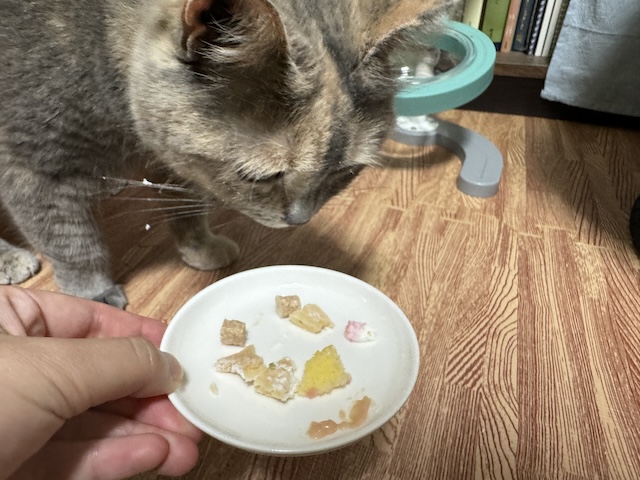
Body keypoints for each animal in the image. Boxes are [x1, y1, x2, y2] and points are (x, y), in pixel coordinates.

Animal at [0, 0, 458, 308]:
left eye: (345, 173)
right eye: (261, 177)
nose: (300, 219)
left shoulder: (178, 162)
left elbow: (187, 203)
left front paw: (201, 246)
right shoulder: (34, 170)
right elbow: (73, 241)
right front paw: (92, 294)